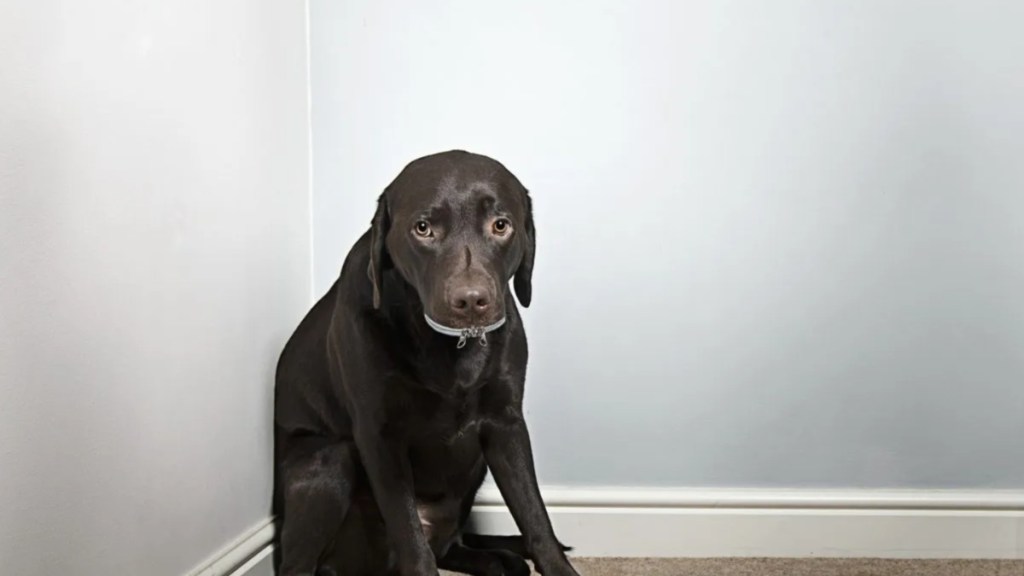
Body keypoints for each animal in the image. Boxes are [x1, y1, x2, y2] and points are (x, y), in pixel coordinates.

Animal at [272, 150, 581, 569]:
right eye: (423, 228)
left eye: (501, 225)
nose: (471, 301)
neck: (452, 349)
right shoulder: (380, 436)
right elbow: (411, 540)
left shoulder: (506, 425)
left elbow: (535, 516)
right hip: (328, 462)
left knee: (451, 547)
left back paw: (500, 561)